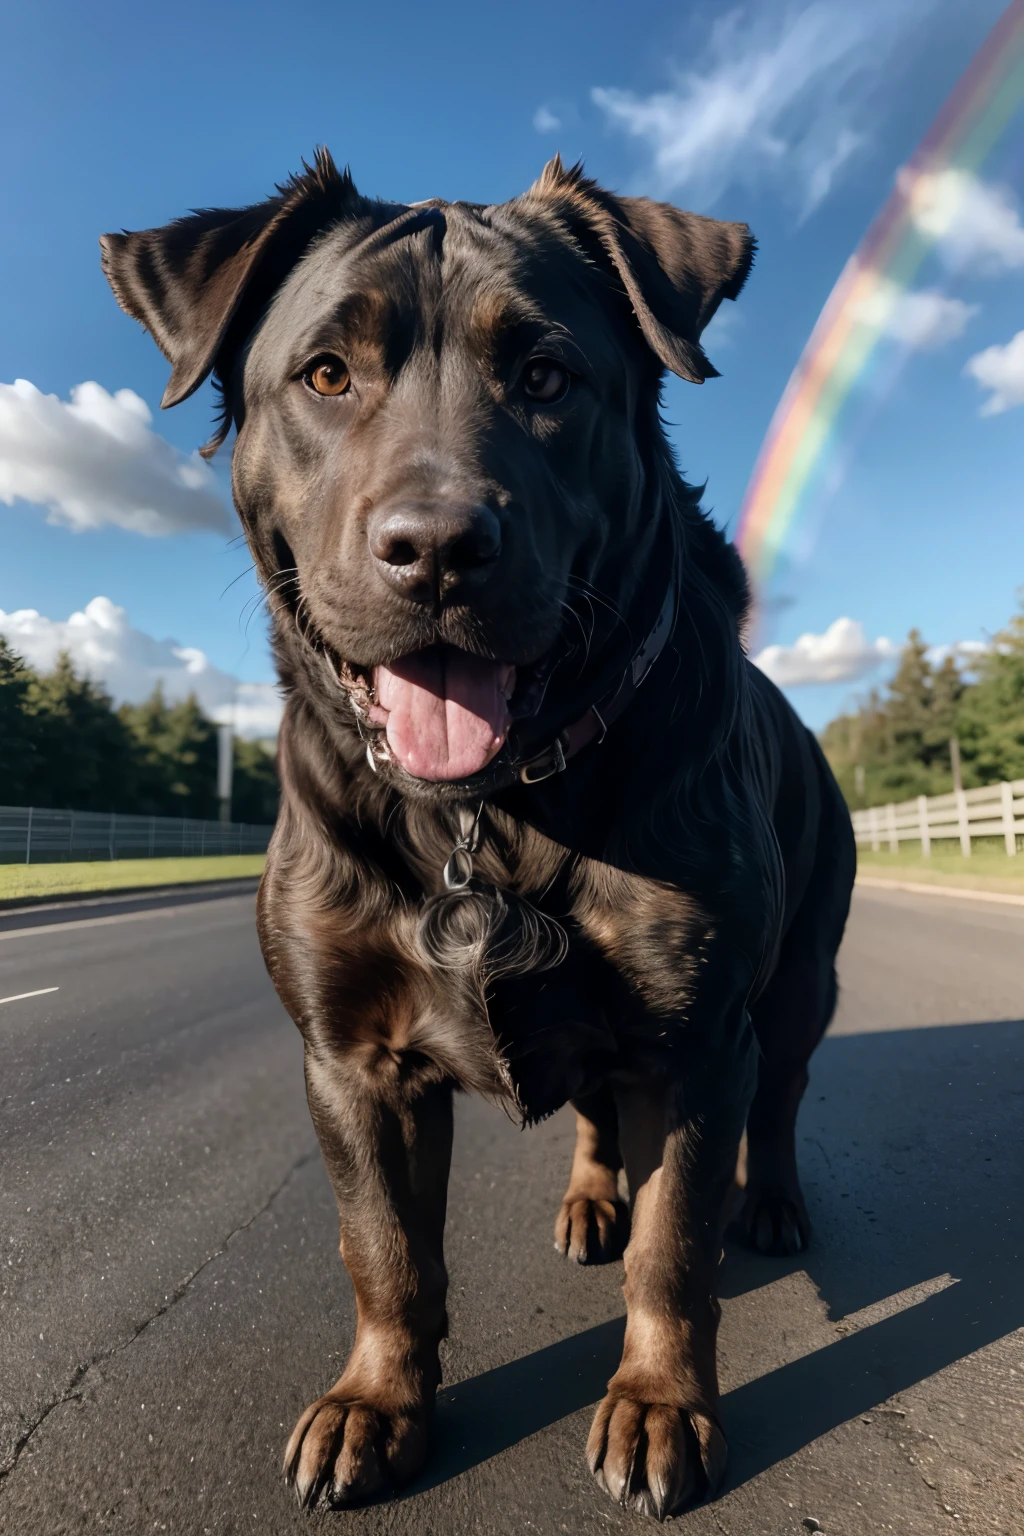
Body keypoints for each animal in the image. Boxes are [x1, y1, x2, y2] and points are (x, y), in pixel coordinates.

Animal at [102, 149, 859, 1517]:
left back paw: (769, 1203)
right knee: (598, 1117)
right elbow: (385, 1250)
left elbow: (676, 1249)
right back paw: (589, 1201)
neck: (489, 811)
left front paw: (661, 1402)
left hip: (797, 984)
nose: (438, 548)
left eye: (548, 376)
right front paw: (377, 1403)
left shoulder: (695, 1041)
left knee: (778, 1103)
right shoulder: (351, 1060)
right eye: (326, 373)